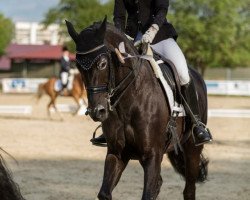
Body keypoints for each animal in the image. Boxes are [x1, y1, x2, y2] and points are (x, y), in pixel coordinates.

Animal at [65, 17, 208, 200]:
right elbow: (104, 193)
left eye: (102, 63)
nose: (97, 111)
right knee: (159, 183)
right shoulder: (116, 153)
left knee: (189, 190)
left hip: (192, 149)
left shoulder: (153, 155)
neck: (130, 101)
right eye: (77, 65)